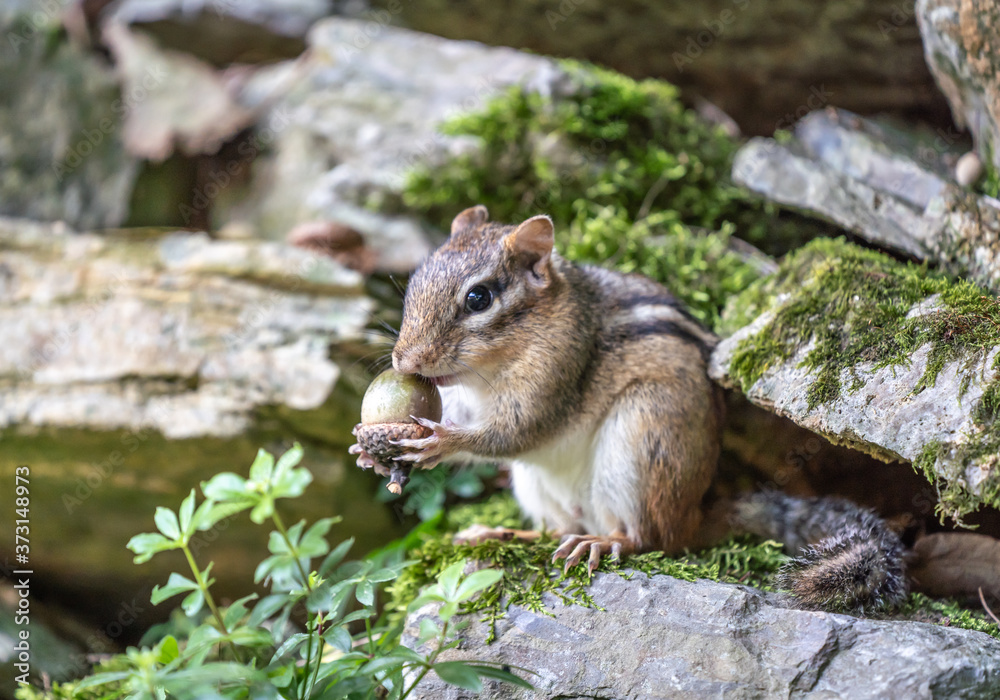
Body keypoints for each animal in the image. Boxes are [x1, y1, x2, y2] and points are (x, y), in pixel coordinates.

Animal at [350, 205, 908, 612]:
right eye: (416, 280)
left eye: (479, 298)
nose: (404, 361)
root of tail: (698, 512)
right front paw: (369, 450)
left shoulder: (558, 373)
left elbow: (514, 433)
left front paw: (440, 443)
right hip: (538, 486)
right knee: (557, 528)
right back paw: (498, 531)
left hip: (640, 440)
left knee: (653, 538)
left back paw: (604, 543)